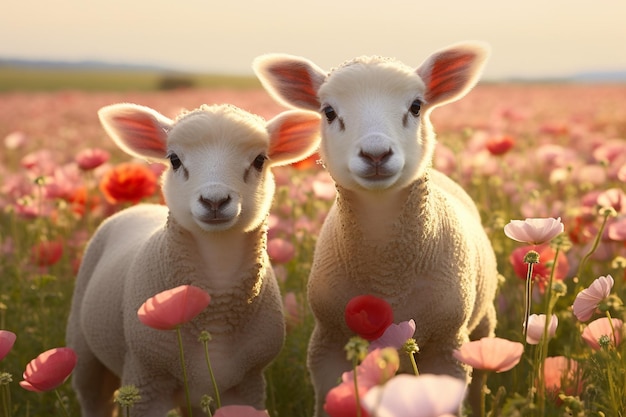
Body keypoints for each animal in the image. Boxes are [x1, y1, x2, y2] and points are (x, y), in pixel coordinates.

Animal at [66, 101, 320, 416]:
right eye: (174, 160)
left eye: (260, 160)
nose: (214, 200)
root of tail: (139, 207)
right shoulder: (147, 380)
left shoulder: (247, 385)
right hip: (84, 346)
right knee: (93, 397)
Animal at [252, 42, 498, 412]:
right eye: (328, 111)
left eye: (416, 106)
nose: (376, 154)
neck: (387, 271)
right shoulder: (328, 341)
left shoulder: (448, 346)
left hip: (481, 324)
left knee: (482, 369)